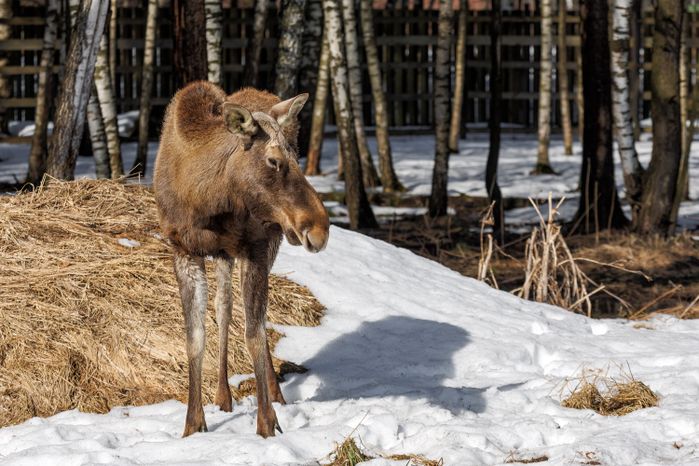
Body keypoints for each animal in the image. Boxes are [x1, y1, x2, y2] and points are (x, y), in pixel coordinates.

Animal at [153, 81, 329, 438]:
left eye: (296, 156)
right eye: (273, 161)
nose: (320, 228)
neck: (206, 203)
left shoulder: (255, 248)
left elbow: (254, 334)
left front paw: (267, 422)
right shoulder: (183, 251)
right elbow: (195, 338)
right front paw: (193, 424)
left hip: (268, 242)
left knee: (254, 317)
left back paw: (275, 394)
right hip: (223, 255)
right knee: (223, 308)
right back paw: (223, 395)